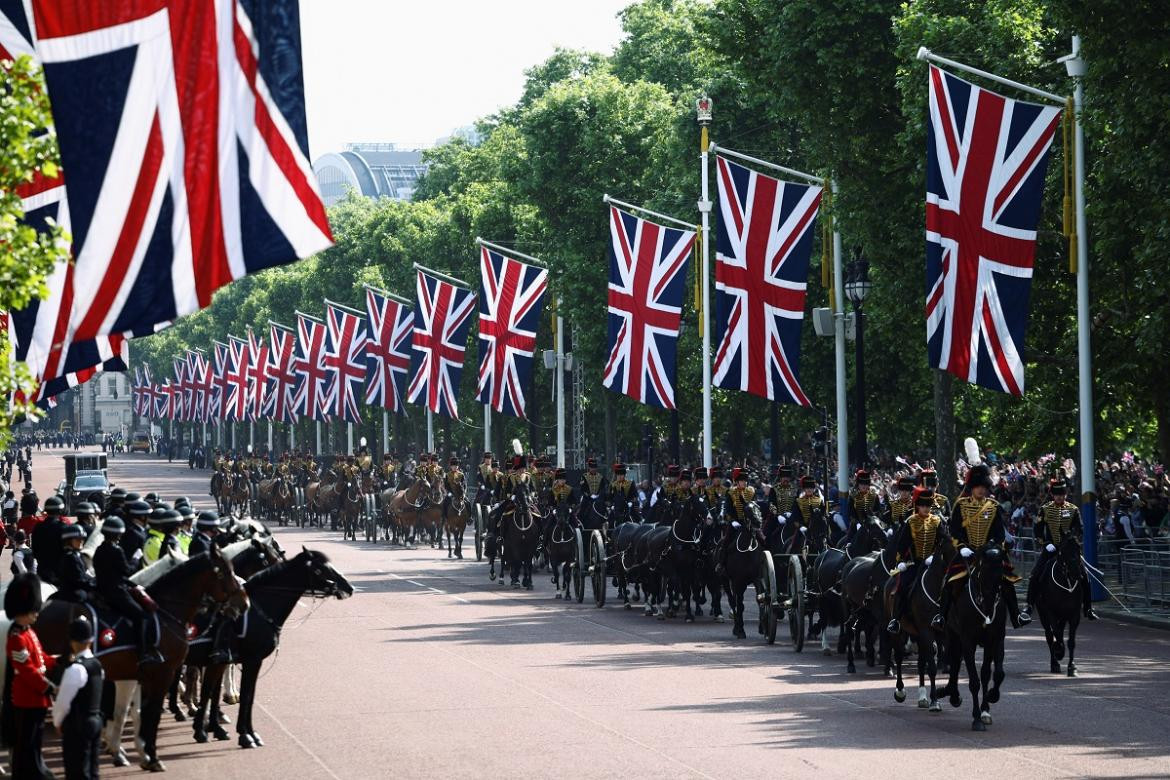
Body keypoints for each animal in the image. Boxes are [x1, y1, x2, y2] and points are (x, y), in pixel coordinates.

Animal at [37, 547, 246, 771]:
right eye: (225, 572)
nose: (244, 602)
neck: (165, 612)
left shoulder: (138, 676)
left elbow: (136, 712)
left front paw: (138, 751)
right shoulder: (162, 674)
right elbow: (150, 714)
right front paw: (151, 757)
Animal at [187, 547, 348, 748]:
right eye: (321, 569)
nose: (348, 587)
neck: (260, 610)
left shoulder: (230, 662)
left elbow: (243, 694)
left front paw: (240, 731)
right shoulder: (250, 660)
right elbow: (244, 695)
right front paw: (245, 735)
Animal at [889, 537, 954, 706]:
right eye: (949, 553)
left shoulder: (942, 633)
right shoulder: (926, 631)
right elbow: (931, 667)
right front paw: (935, 702)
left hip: (917, 634)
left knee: (920, 663)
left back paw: (922, 697)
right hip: (899, 632)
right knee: (898, 657)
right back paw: (900, 691)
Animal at [1034, 537, 1085, 678]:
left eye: (1079, 548)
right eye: (1063, 551)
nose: (1077, 574)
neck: (1066, 583)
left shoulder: (1074, 615)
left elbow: (1071, 641)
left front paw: (1072, 667)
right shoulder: (1050, 612)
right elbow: (1056, 635)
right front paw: (1059, 652)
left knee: (1059, 633)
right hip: (1044, 615)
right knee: (1049, 636)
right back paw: (1054, 663)